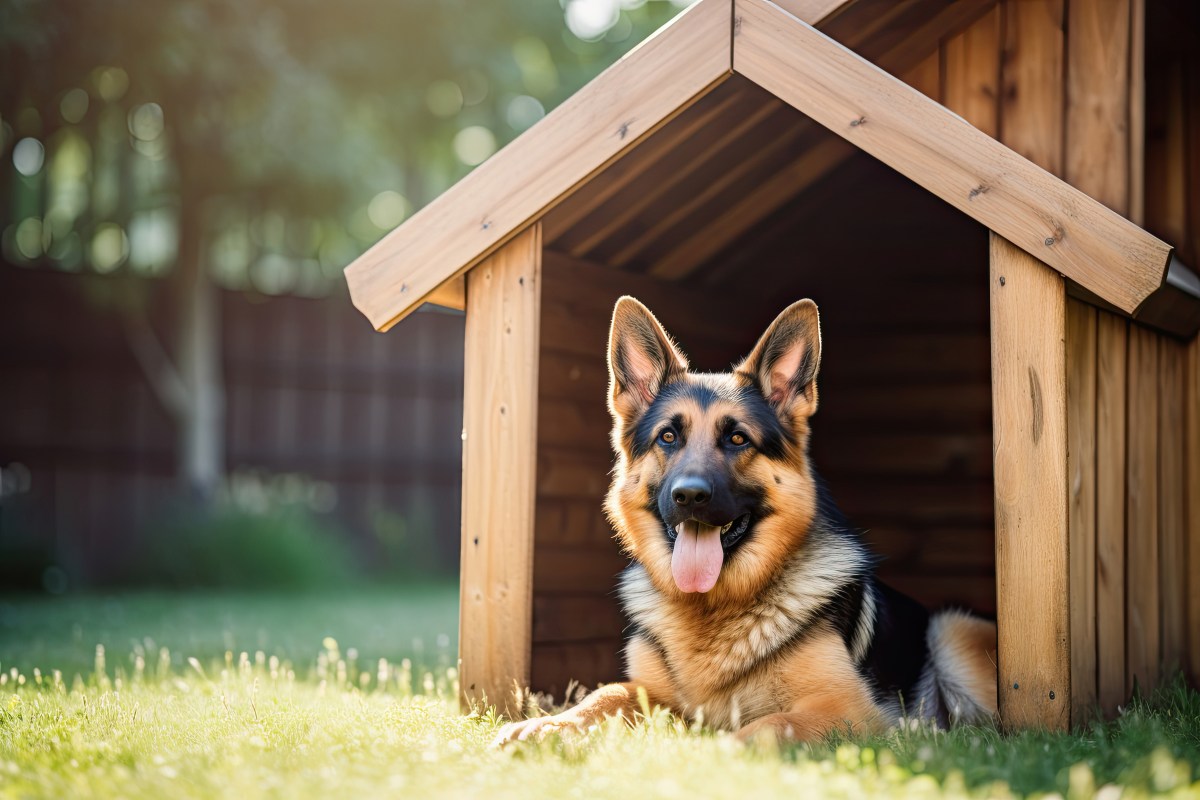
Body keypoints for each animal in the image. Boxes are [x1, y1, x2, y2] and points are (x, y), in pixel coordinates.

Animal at [492, 298, 998, 743]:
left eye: (737, 439)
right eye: (668, 437)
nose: (689, 496)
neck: (712, 609)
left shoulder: (846, 708)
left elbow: (770, 726)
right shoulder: (650, 693)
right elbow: (605, 693)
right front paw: (546, 724)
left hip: (951, 630)